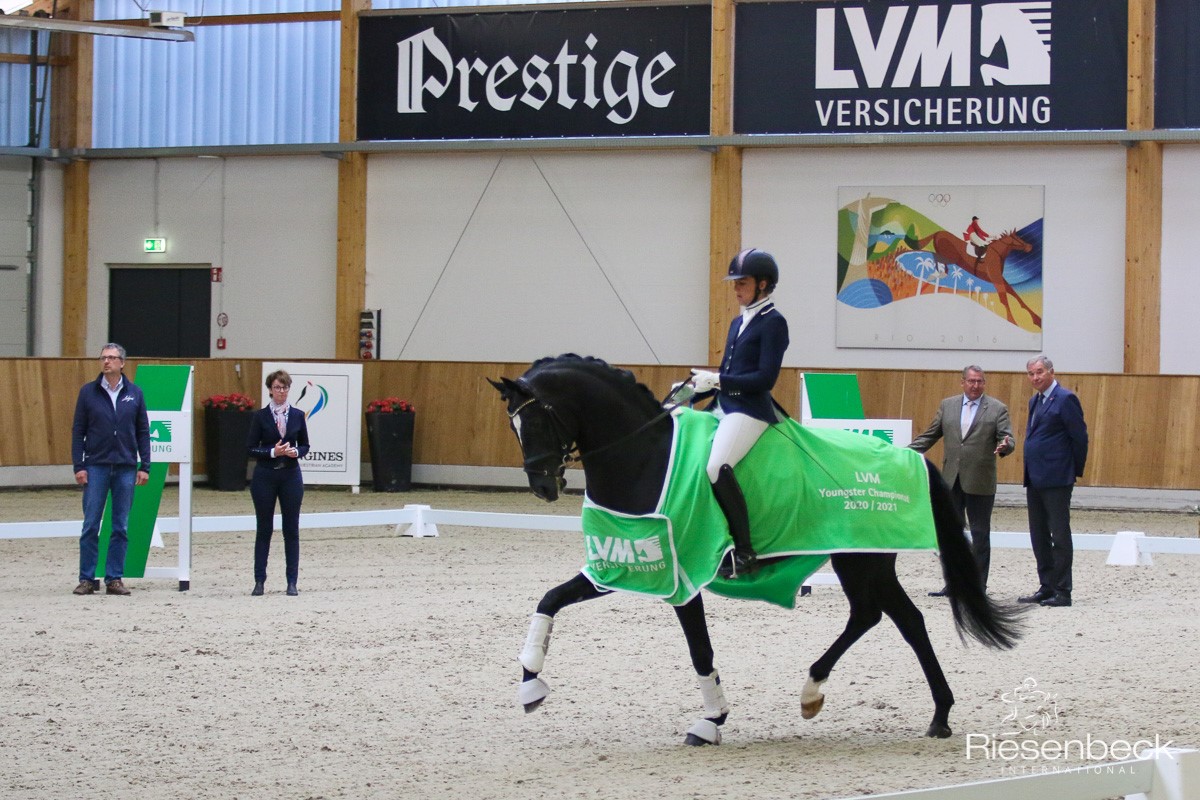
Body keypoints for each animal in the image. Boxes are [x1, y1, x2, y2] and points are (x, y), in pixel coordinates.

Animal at [487, 355, 1022, 743]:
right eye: (512, 427)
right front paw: (530, 684)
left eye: (536, 421)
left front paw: (711, 721)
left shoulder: (681, 573)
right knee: (897, 619)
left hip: (860, 559)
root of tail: (910, 457)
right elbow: (551, 598)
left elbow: (699, 650)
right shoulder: (626, 565)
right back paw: (930, 713)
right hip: (861, 559)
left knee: (880, 616)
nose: (543, 486)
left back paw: (827, 692)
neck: (644, 457)